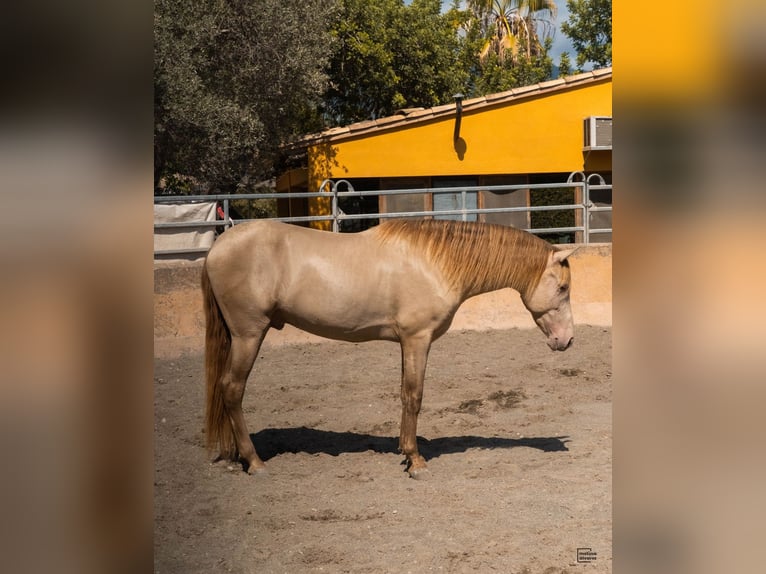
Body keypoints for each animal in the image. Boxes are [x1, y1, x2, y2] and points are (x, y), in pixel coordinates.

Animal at [201, 218, 577, 479]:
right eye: (562, 288)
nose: (567, 340)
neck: (433, 262)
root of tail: (217, 248)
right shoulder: (417, 339)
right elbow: (414, 396)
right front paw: (416, 461)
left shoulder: (405, 343)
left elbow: (403, 394)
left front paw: (405, 452)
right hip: (249, 335)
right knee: (232, 390)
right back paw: (254, 461)